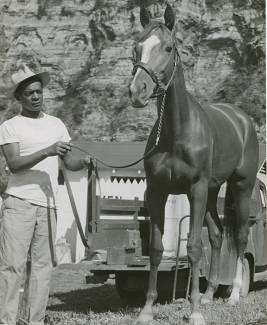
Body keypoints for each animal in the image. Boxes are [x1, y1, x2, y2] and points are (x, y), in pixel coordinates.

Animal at [129, 3, 260, 324]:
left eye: (168, 47)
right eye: (137, 47)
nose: (137, 91)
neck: (176, 132)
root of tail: (242, 119)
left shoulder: (195, 189)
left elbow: (193, 246)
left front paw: (196, 311)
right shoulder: (157, 192)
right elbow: (156, 248)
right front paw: (147, 310)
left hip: (240, 186)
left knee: (239, 236)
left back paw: (233, 296)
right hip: (212, 192)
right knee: (217, 235)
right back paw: (211, 293)